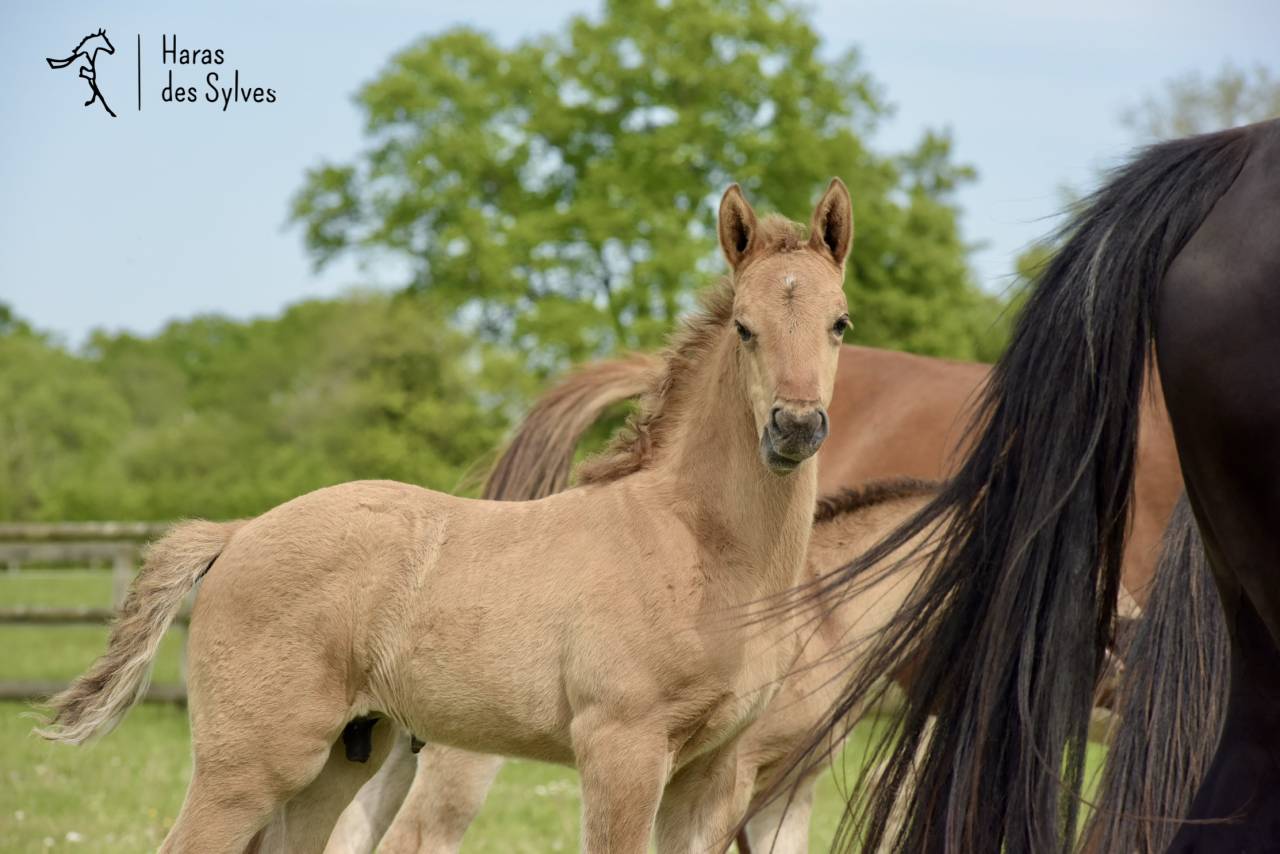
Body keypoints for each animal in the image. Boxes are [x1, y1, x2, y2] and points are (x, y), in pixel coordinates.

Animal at [37, 179, 855, 853]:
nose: (794, 428)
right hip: (251, 764)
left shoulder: (714, 770)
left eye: (840, 323)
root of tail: (238, 533)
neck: (693, 543)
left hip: (340, 757)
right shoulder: (621, 749)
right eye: (745, 326)